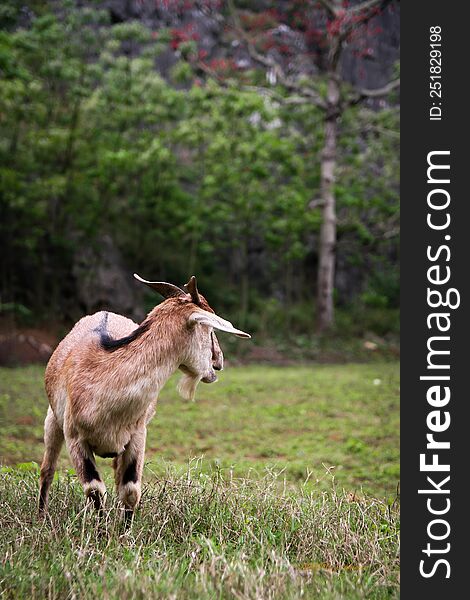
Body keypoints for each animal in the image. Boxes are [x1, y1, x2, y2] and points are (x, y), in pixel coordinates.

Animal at [39, 276, 250, 516]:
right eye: (207, 327)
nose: (218, 362)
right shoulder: (75, 438)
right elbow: (94, 490)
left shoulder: (137, 436)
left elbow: (130, 491)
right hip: (53, 421)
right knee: (47, 469)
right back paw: (41, 516)